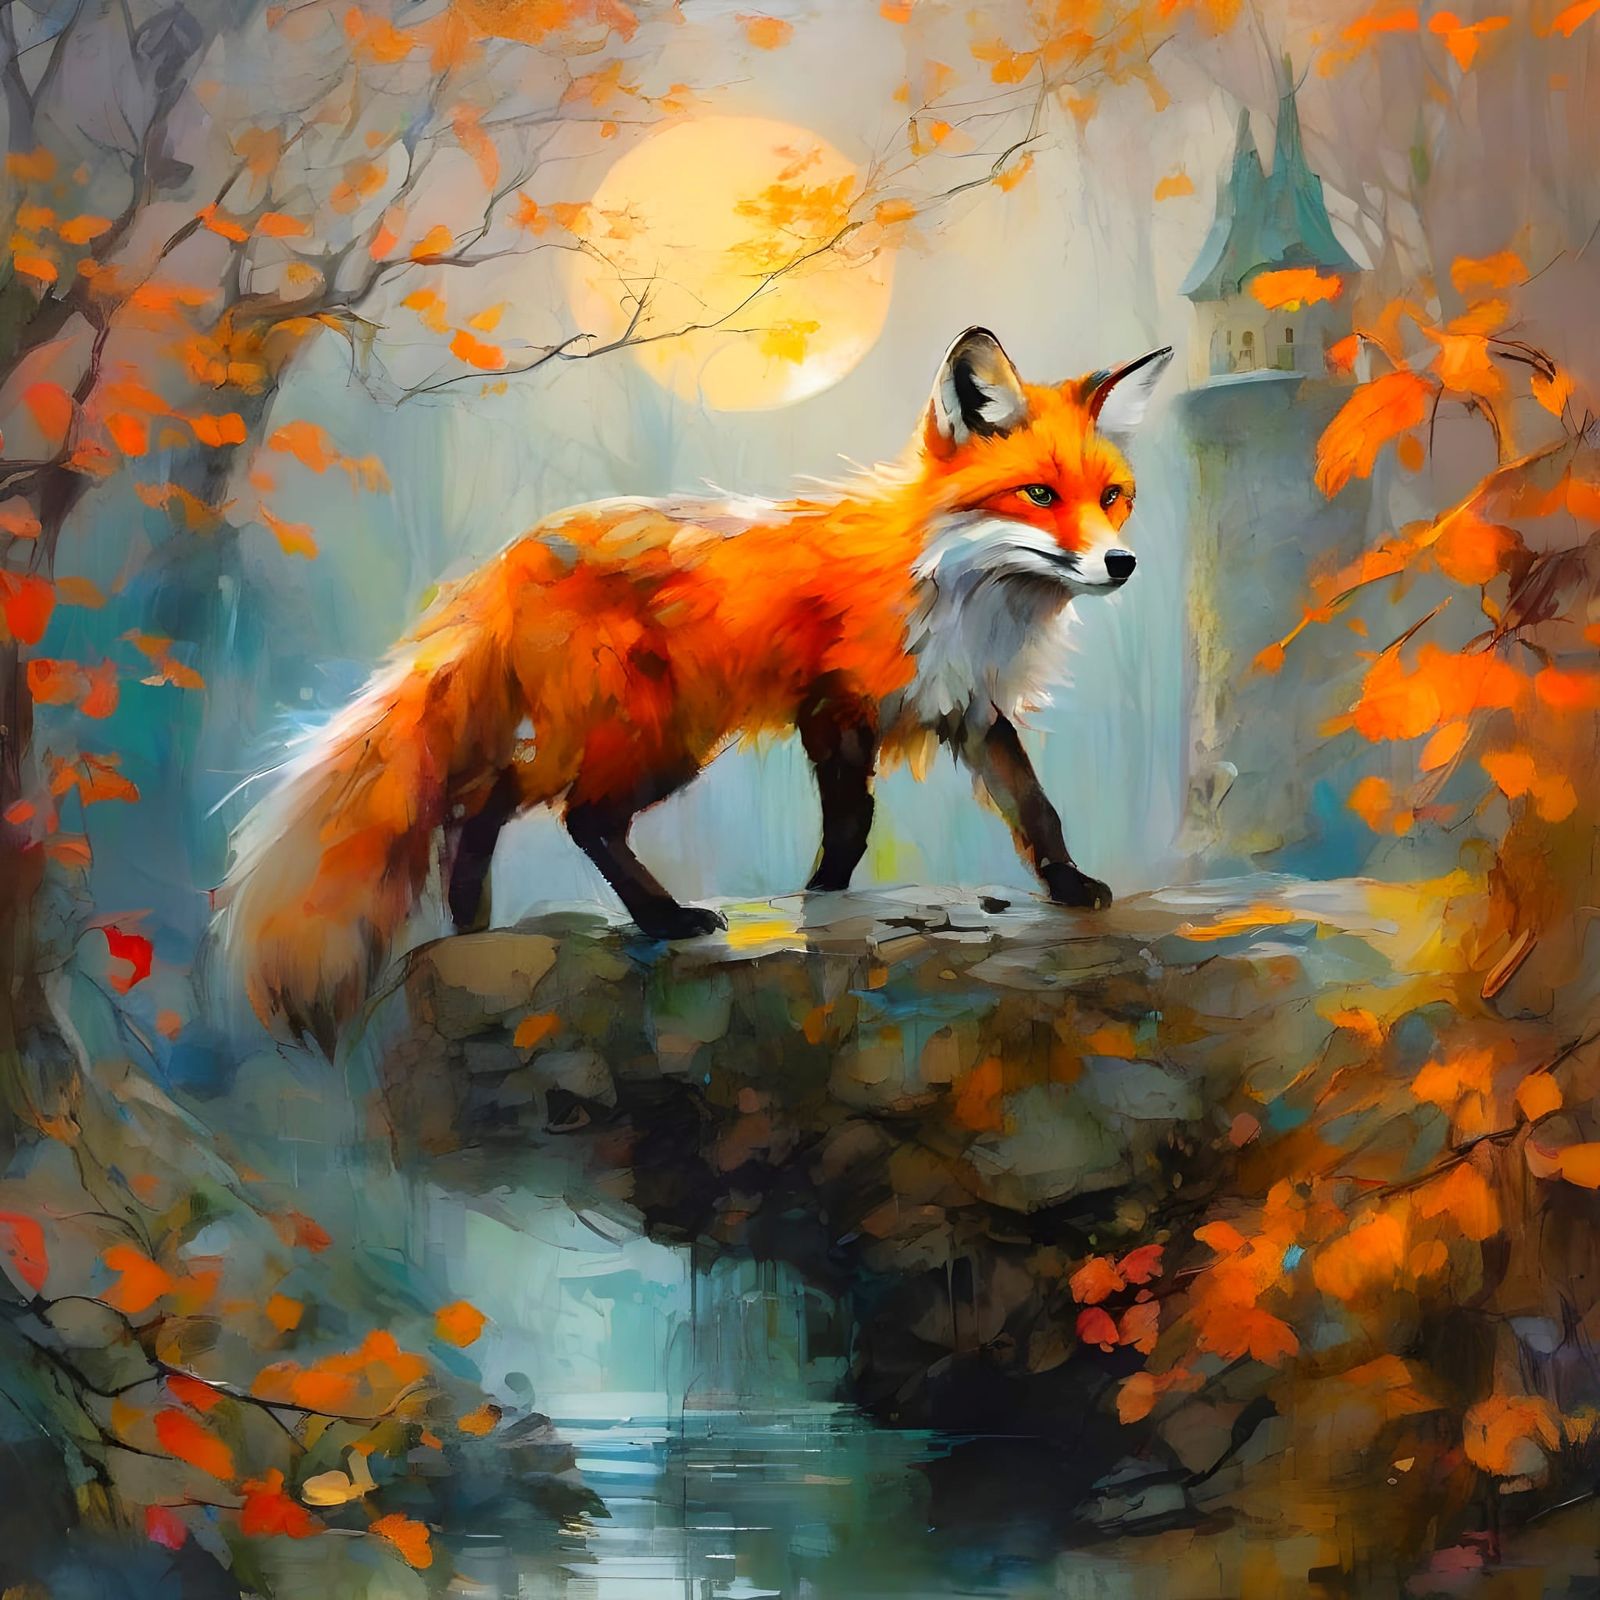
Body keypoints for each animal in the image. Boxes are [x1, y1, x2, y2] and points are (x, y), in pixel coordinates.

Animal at [217, 327, 1172, 1047]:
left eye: (1112, 497)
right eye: (1038, 494)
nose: (1122, 564)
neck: (966, 595)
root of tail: (515, 554)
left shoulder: (971, 709)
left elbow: (1034, 807)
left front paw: (1070, 886)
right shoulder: (833, 708)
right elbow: (851, 825)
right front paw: (823, 900)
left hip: (621, 737)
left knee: (482, 796)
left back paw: (470, 915)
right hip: (660, 738)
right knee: (572, 815)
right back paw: (661, 919)